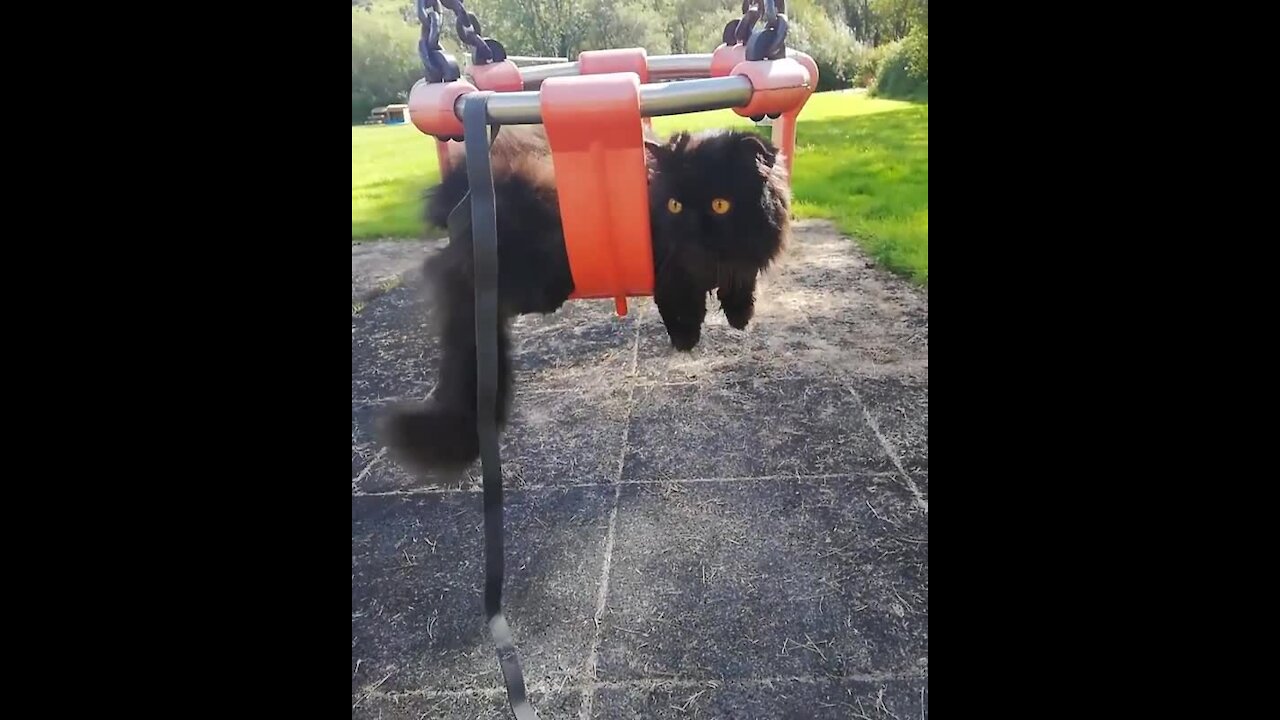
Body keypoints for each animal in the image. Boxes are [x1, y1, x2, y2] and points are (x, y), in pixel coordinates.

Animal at [376, 124, 788, 471]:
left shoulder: (745, 256)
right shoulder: (662, 263)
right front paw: (687, 338)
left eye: (720, 205)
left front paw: (739, 313)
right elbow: (678, 301)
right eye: (674, 205)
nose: (689, 228)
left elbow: (743, 276)